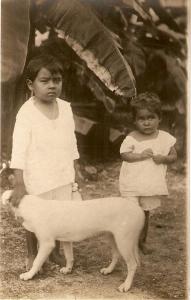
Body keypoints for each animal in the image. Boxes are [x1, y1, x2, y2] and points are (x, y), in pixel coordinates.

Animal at [1, 190, 145, 292]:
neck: (30, 206)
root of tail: (139, 210)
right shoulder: (66, 240)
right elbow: (69, 256)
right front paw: (68, 269)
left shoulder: (47, 244)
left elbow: (37, 261)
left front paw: (29, 275)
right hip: (112, 238)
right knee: (116, 255)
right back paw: (108, 270)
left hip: (124, 241)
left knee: (132, 264)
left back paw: (126, 285)